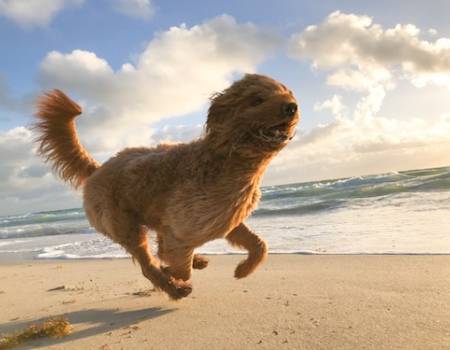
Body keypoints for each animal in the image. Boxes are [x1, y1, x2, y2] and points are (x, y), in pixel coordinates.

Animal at [34, 74, 298, 298]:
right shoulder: (184, 231)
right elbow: (179, 269)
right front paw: (171, 274)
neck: (225, 160)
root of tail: (97, 169)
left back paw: (194, 263)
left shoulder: (225, 221)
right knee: (147, 265)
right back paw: (175, 289)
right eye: (257, 99)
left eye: (287, 92)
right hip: (127, 228)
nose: (292, 107)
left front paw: (243, 270)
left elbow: (260, 245)